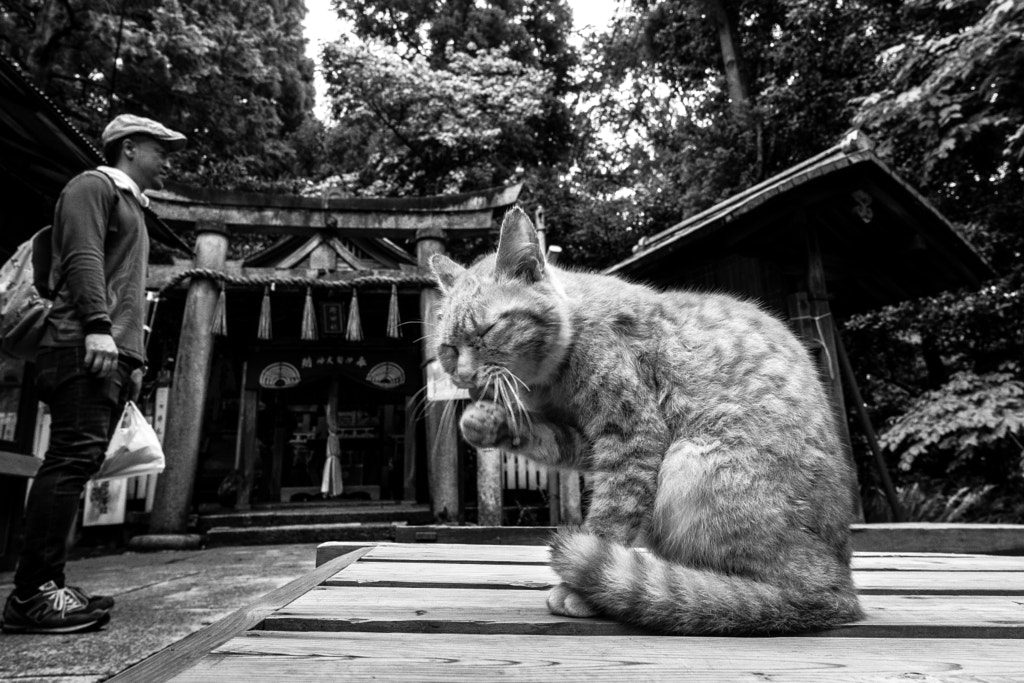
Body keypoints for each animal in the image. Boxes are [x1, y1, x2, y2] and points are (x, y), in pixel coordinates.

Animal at [425, 206, 864, 634]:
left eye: (488, 331)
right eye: (448, 348)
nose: (462, 376)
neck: (552, 378)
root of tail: (842, 585)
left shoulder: (633, 437)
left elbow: (610, 516)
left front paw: (579, 590)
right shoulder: (584, 441)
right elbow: (543, 437)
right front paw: (488, 424)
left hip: (689, 462)